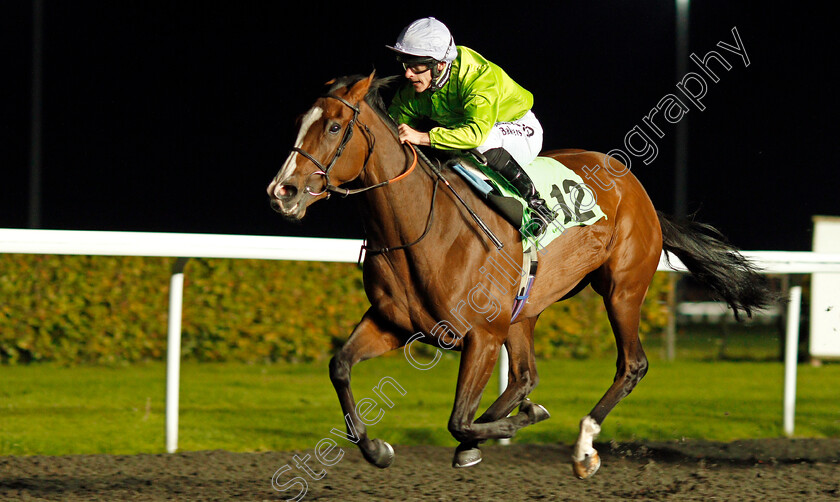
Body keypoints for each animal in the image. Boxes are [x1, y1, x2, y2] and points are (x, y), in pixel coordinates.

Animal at [266, 72, 772, 476]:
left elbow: (457, 418)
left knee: (631, 365)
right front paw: (377, 449)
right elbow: (340, 367)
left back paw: (583, 446)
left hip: (622, 290)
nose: (281, 191)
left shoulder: (482, 335)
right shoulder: (394, 323)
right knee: (525, 376)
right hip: (525, 310)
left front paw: (518, 423)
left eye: (334, 126)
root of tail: (637, 190)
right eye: (298, 122)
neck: (423, 230)